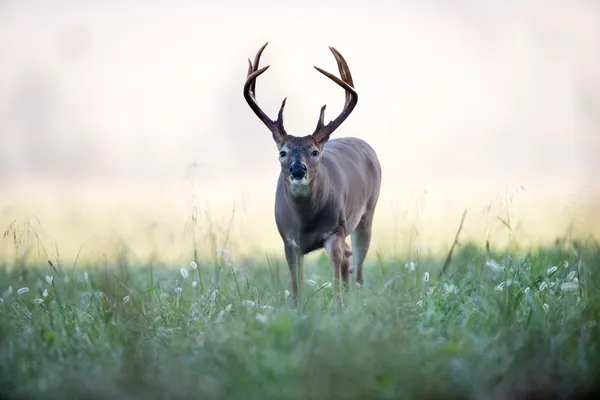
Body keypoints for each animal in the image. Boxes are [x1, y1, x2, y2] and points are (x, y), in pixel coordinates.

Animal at [243, 43, 380, 306]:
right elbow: (296, 286)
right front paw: (297, 309)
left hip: (367, 214)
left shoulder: (336, 230)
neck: (305, 222)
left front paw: (339, 307)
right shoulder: (288, 240)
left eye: (315, 152)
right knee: (349, 261)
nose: (298, 169)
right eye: (283, 152)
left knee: (356, 267)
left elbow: (336, 278)